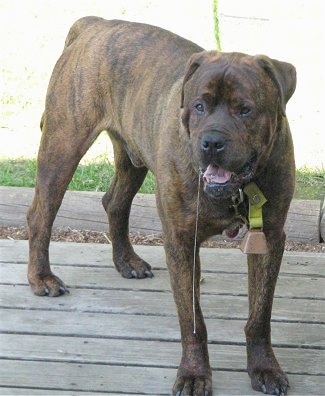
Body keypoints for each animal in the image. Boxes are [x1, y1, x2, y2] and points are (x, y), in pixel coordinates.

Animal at [27, 17, 296, 396]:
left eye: (245, 109)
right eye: (199, 106)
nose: (211, 142)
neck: (237, 189)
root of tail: (96, 24)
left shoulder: (268, 237)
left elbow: (260, 314)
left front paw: (264, 368)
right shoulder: (181, 239)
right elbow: (192, 320)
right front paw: (194, 374)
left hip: (131, 157)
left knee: (115, 203)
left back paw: (126, 261)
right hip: (62, 146)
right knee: (41, 215)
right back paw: (42, 278)